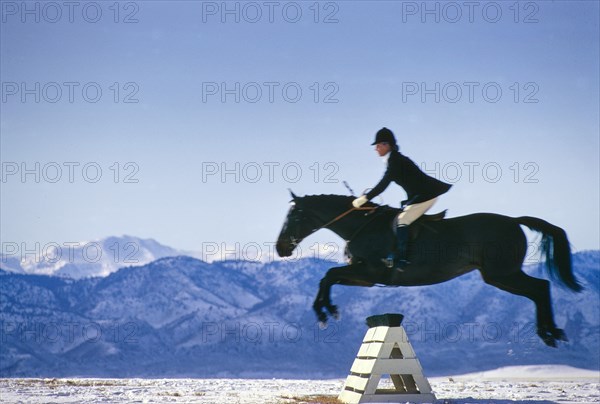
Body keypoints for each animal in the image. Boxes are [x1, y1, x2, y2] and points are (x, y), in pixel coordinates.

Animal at [276, 193, 580, 348]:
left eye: (295, 216)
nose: (281, 248)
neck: (360, 225)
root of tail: (515, 221)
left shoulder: (370, 273)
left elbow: (328, 276)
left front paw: (325, 312)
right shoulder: (364, 277)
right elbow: (327, 278)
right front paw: (326, 310)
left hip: (502, 274)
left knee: (540, 287)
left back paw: (550, 333)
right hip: (498, 276)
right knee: (538, 290)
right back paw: (551, 333)